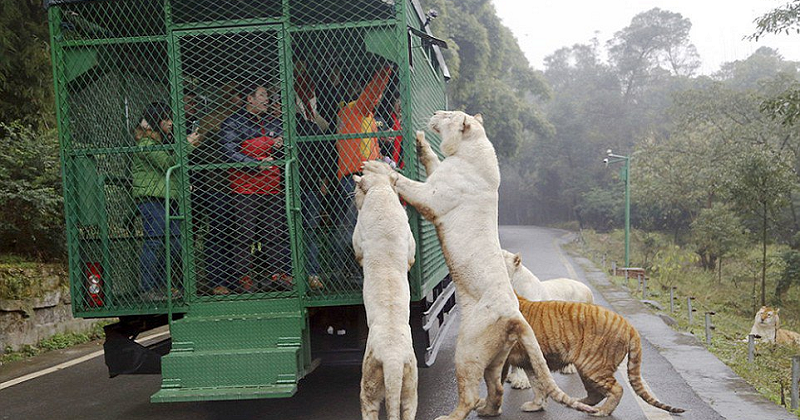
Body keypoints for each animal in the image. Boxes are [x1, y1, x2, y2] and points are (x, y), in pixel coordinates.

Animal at [354, 171, 418, 420]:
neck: (380, 190)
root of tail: (393, 359)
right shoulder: (409, 239)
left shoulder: (358, 235)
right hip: (410, 384)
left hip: (369, 384)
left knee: (369, 405)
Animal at [362, 111, 592, 420]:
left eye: (449, 115)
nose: (435, 113)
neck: (468, 149)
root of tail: (515, 315)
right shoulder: (439, 174)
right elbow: (433, 160)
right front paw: (422, 143)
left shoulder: (433, 196)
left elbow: (404, 182)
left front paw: (377, 169)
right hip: (495, 355)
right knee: (496, 388)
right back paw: (487, 409)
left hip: (467, 349)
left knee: (470, 394)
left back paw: (450, 416)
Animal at [504, 298, 684, 416]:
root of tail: (628, 325)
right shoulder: (529, 362)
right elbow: (538, 384)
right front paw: (537, 405)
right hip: (587, 369)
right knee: (596, 393)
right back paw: (580, 403)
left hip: (593, 367)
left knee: (617, 389)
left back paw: (601, 412)